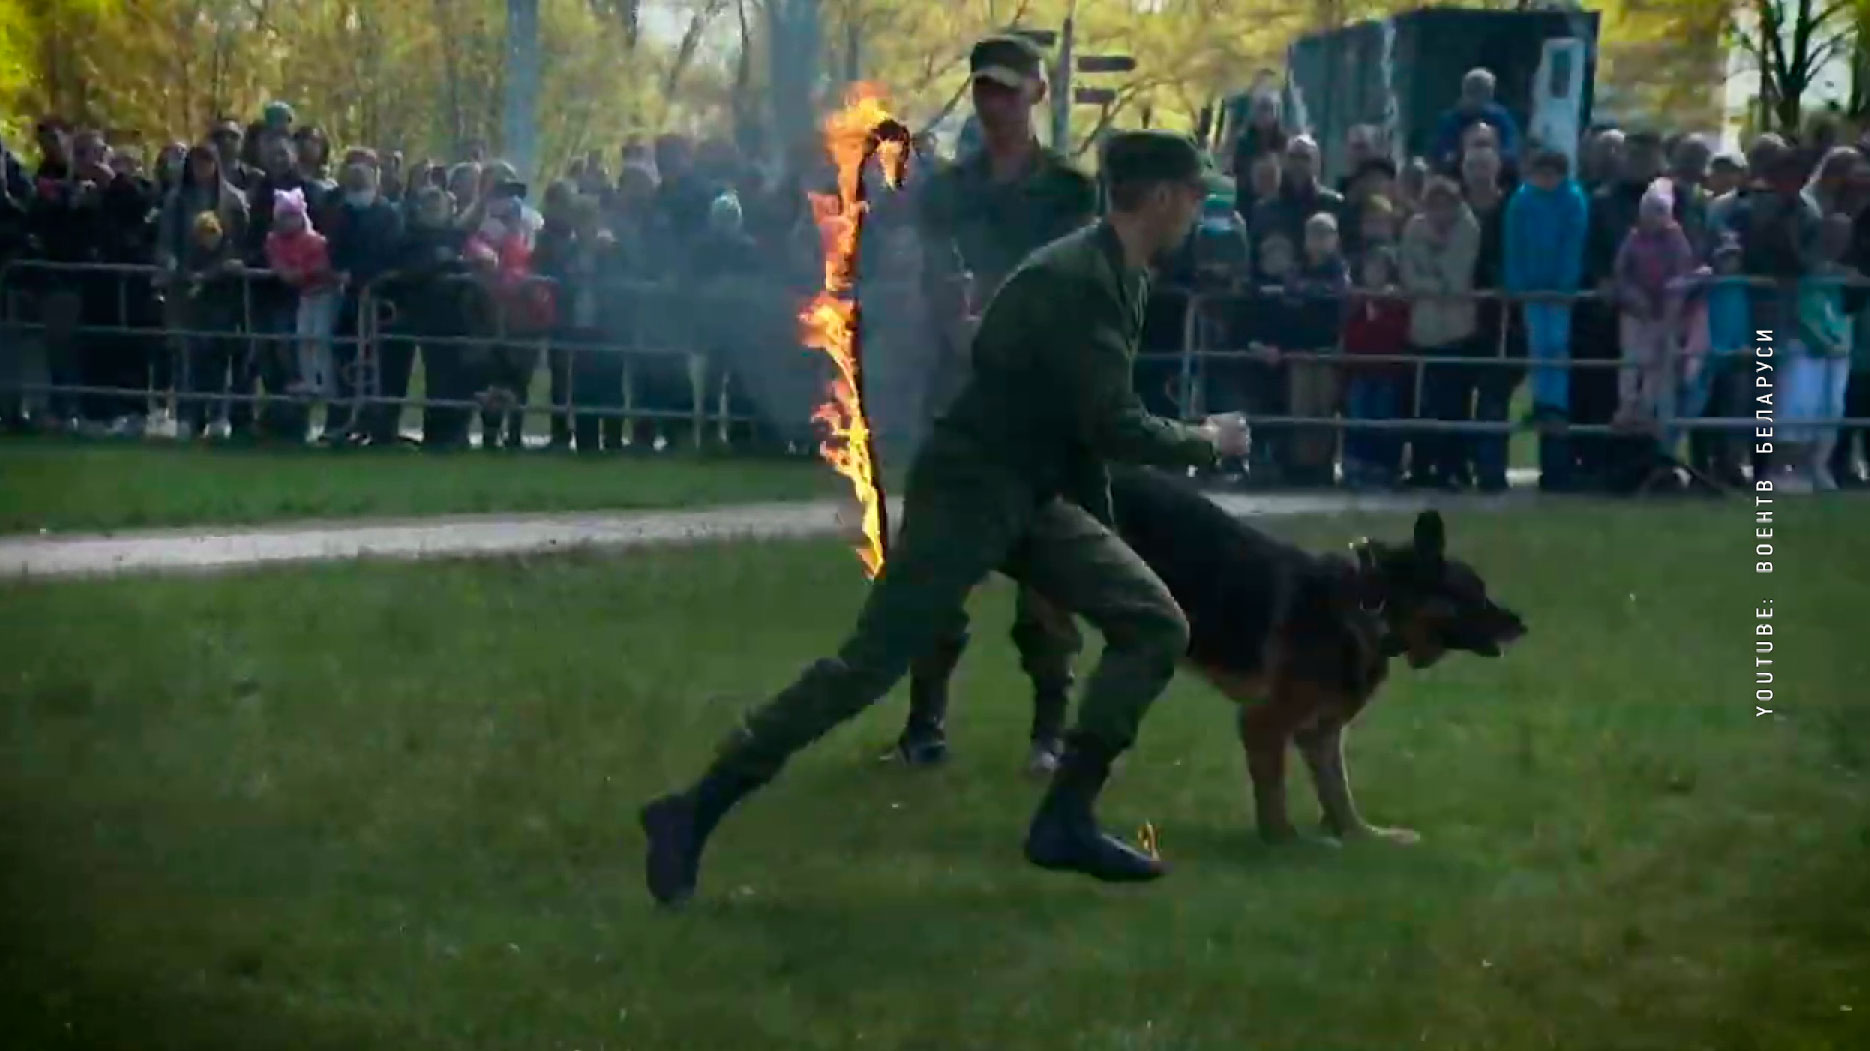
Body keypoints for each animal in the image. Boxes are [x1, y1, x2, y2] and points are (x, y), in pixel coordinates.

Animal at [1099, 465, 1525, 841]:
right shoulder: (1263, 722)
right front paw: (1285, 843)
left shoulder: (1321, 733)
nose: (1522, 624)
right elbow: (1274, 794)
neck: (1371, 607)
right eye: (1473, 592)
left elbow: (1338, 792)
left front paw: (1362, 837)